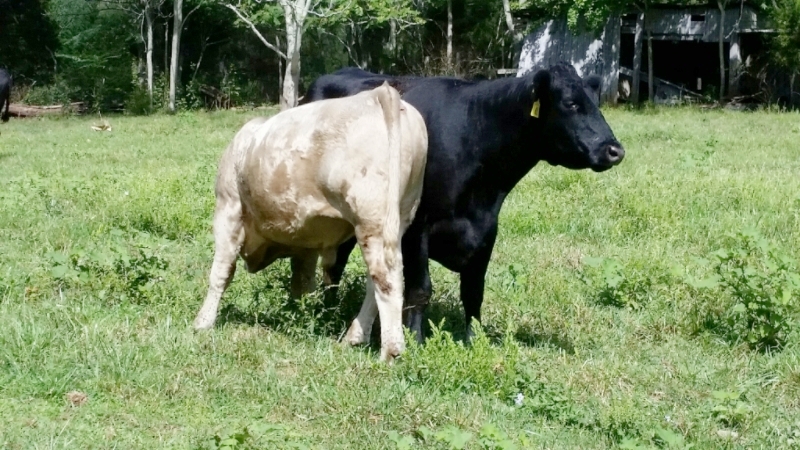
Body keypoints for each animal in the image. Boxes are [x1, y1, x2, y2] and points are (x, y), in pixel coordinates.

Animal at [194, 82, 428, 360]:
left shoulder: (228, 206)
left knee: (386, 279)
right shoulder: (307, 238)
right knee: (375, 283)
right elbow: (302, 279)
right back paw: (354, 337)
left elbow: (221, 271)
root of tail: (379, 94)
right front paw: (298, 314)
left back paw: (390, 352)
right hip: (401, 214)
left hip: (372, 220)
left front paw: (203, 322)